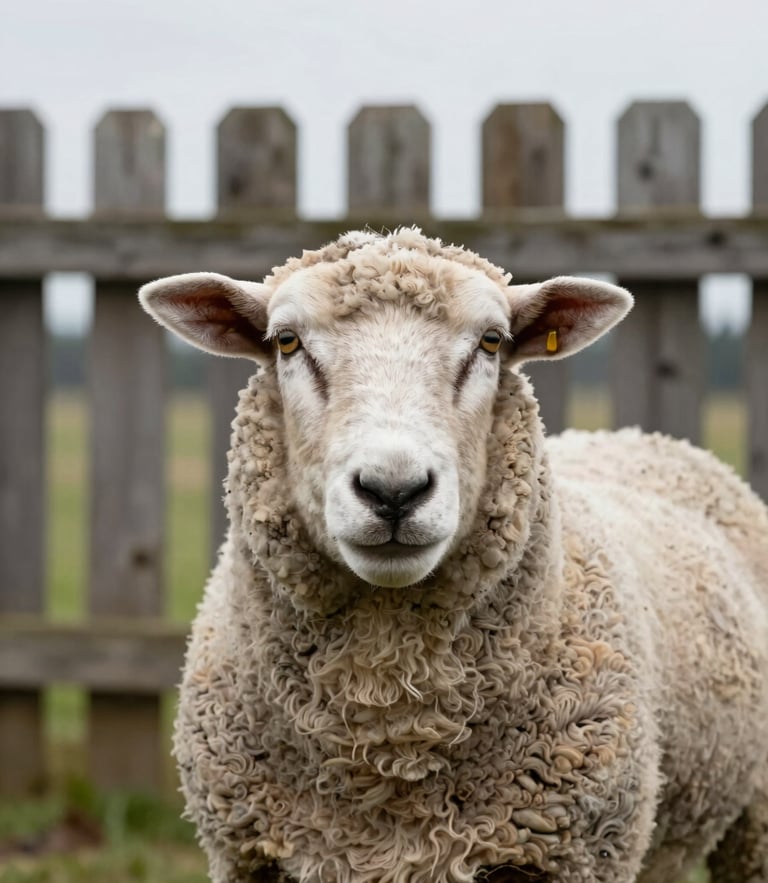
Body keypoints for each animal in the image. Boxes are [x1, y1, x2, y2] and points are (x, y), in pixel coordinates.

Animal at [139, 227, 768, 883]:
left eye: (491, 341)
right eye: (286, 341)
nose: (393, 490)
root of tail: (641, 436)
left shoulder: (580, 857)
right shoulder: (247, 856)